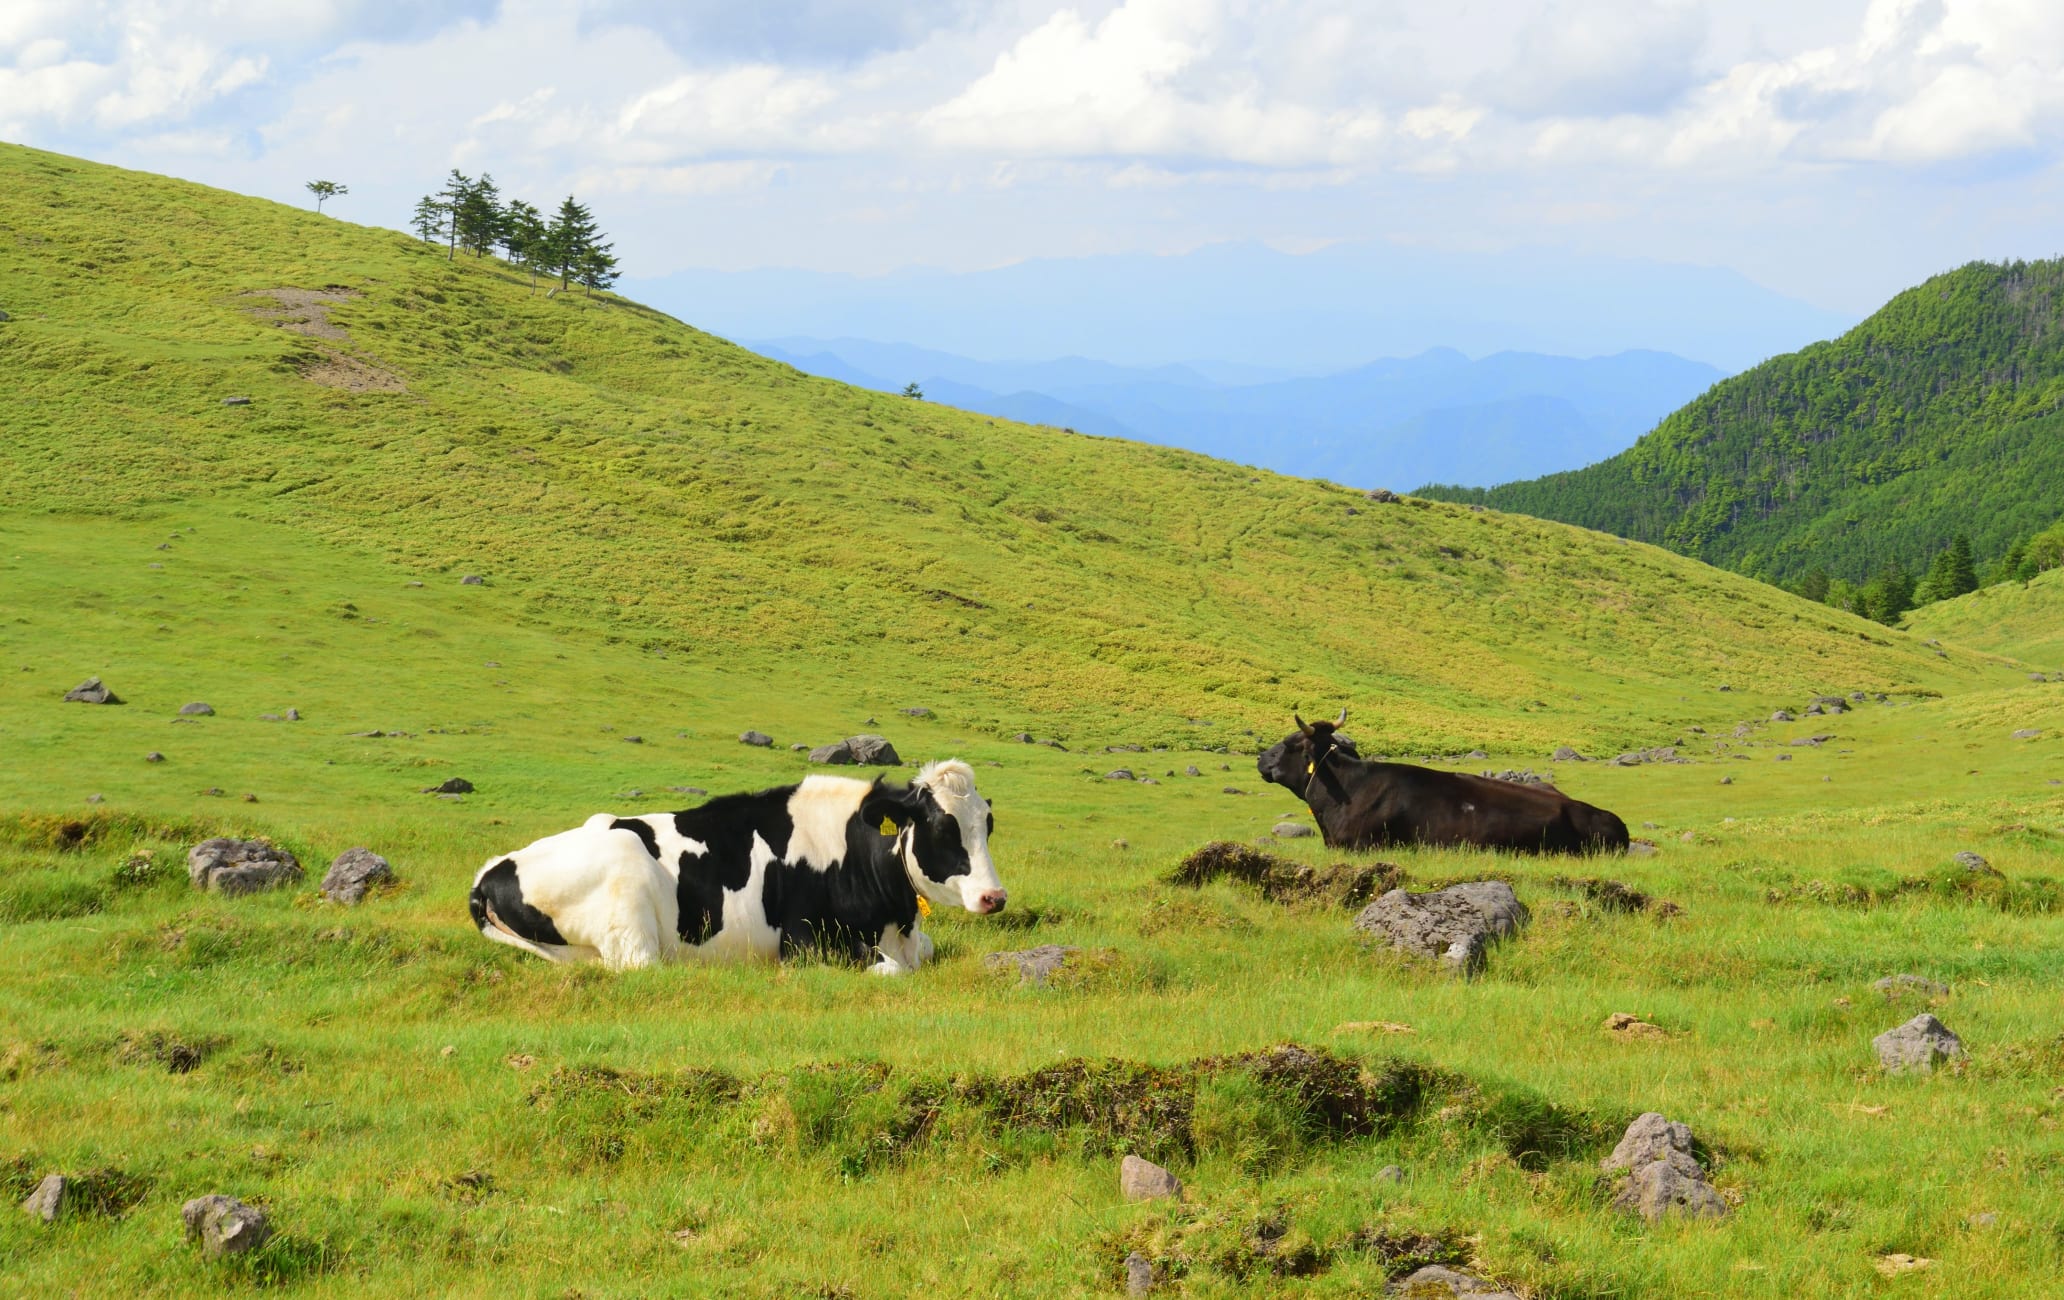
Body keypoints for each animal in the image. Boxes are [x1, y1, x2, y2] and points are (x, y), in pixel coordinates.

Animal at [462, 763, 1007, 978]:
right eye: (941, 828)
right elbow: (894, 971)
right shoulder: (804, 941)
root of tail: (489, 872)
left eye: (986, 823)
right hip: (626, 878)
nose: (994, 897)